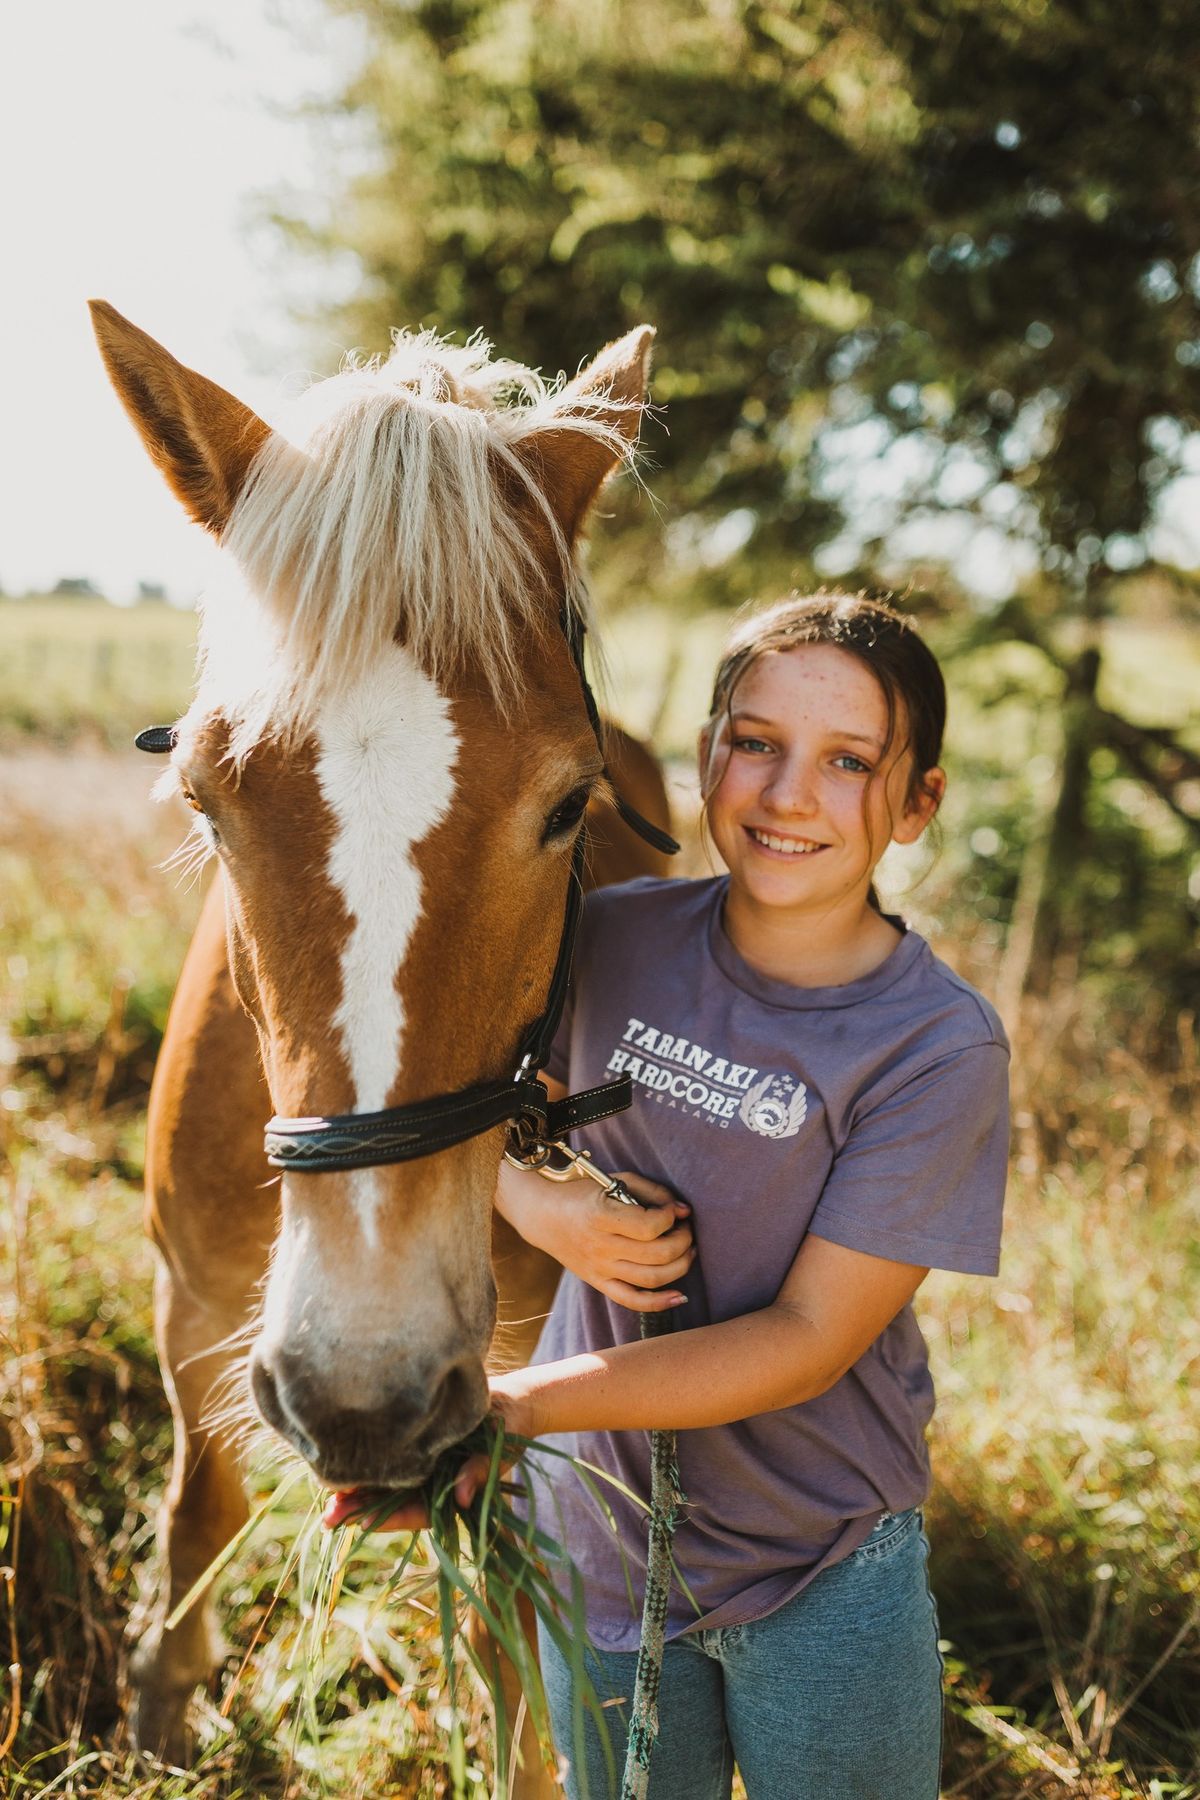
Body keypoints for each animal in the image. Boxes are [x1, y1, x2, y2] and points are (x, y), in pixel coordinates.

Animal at [91, 302, 676, 1792]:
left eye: (570, 806)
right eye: (205, 795)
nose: (364, 1389)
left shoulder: (505, 1382)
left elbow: (513, 1628)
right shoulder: (193, 1304)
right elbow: (197, 1505)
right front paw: (162, 1706)